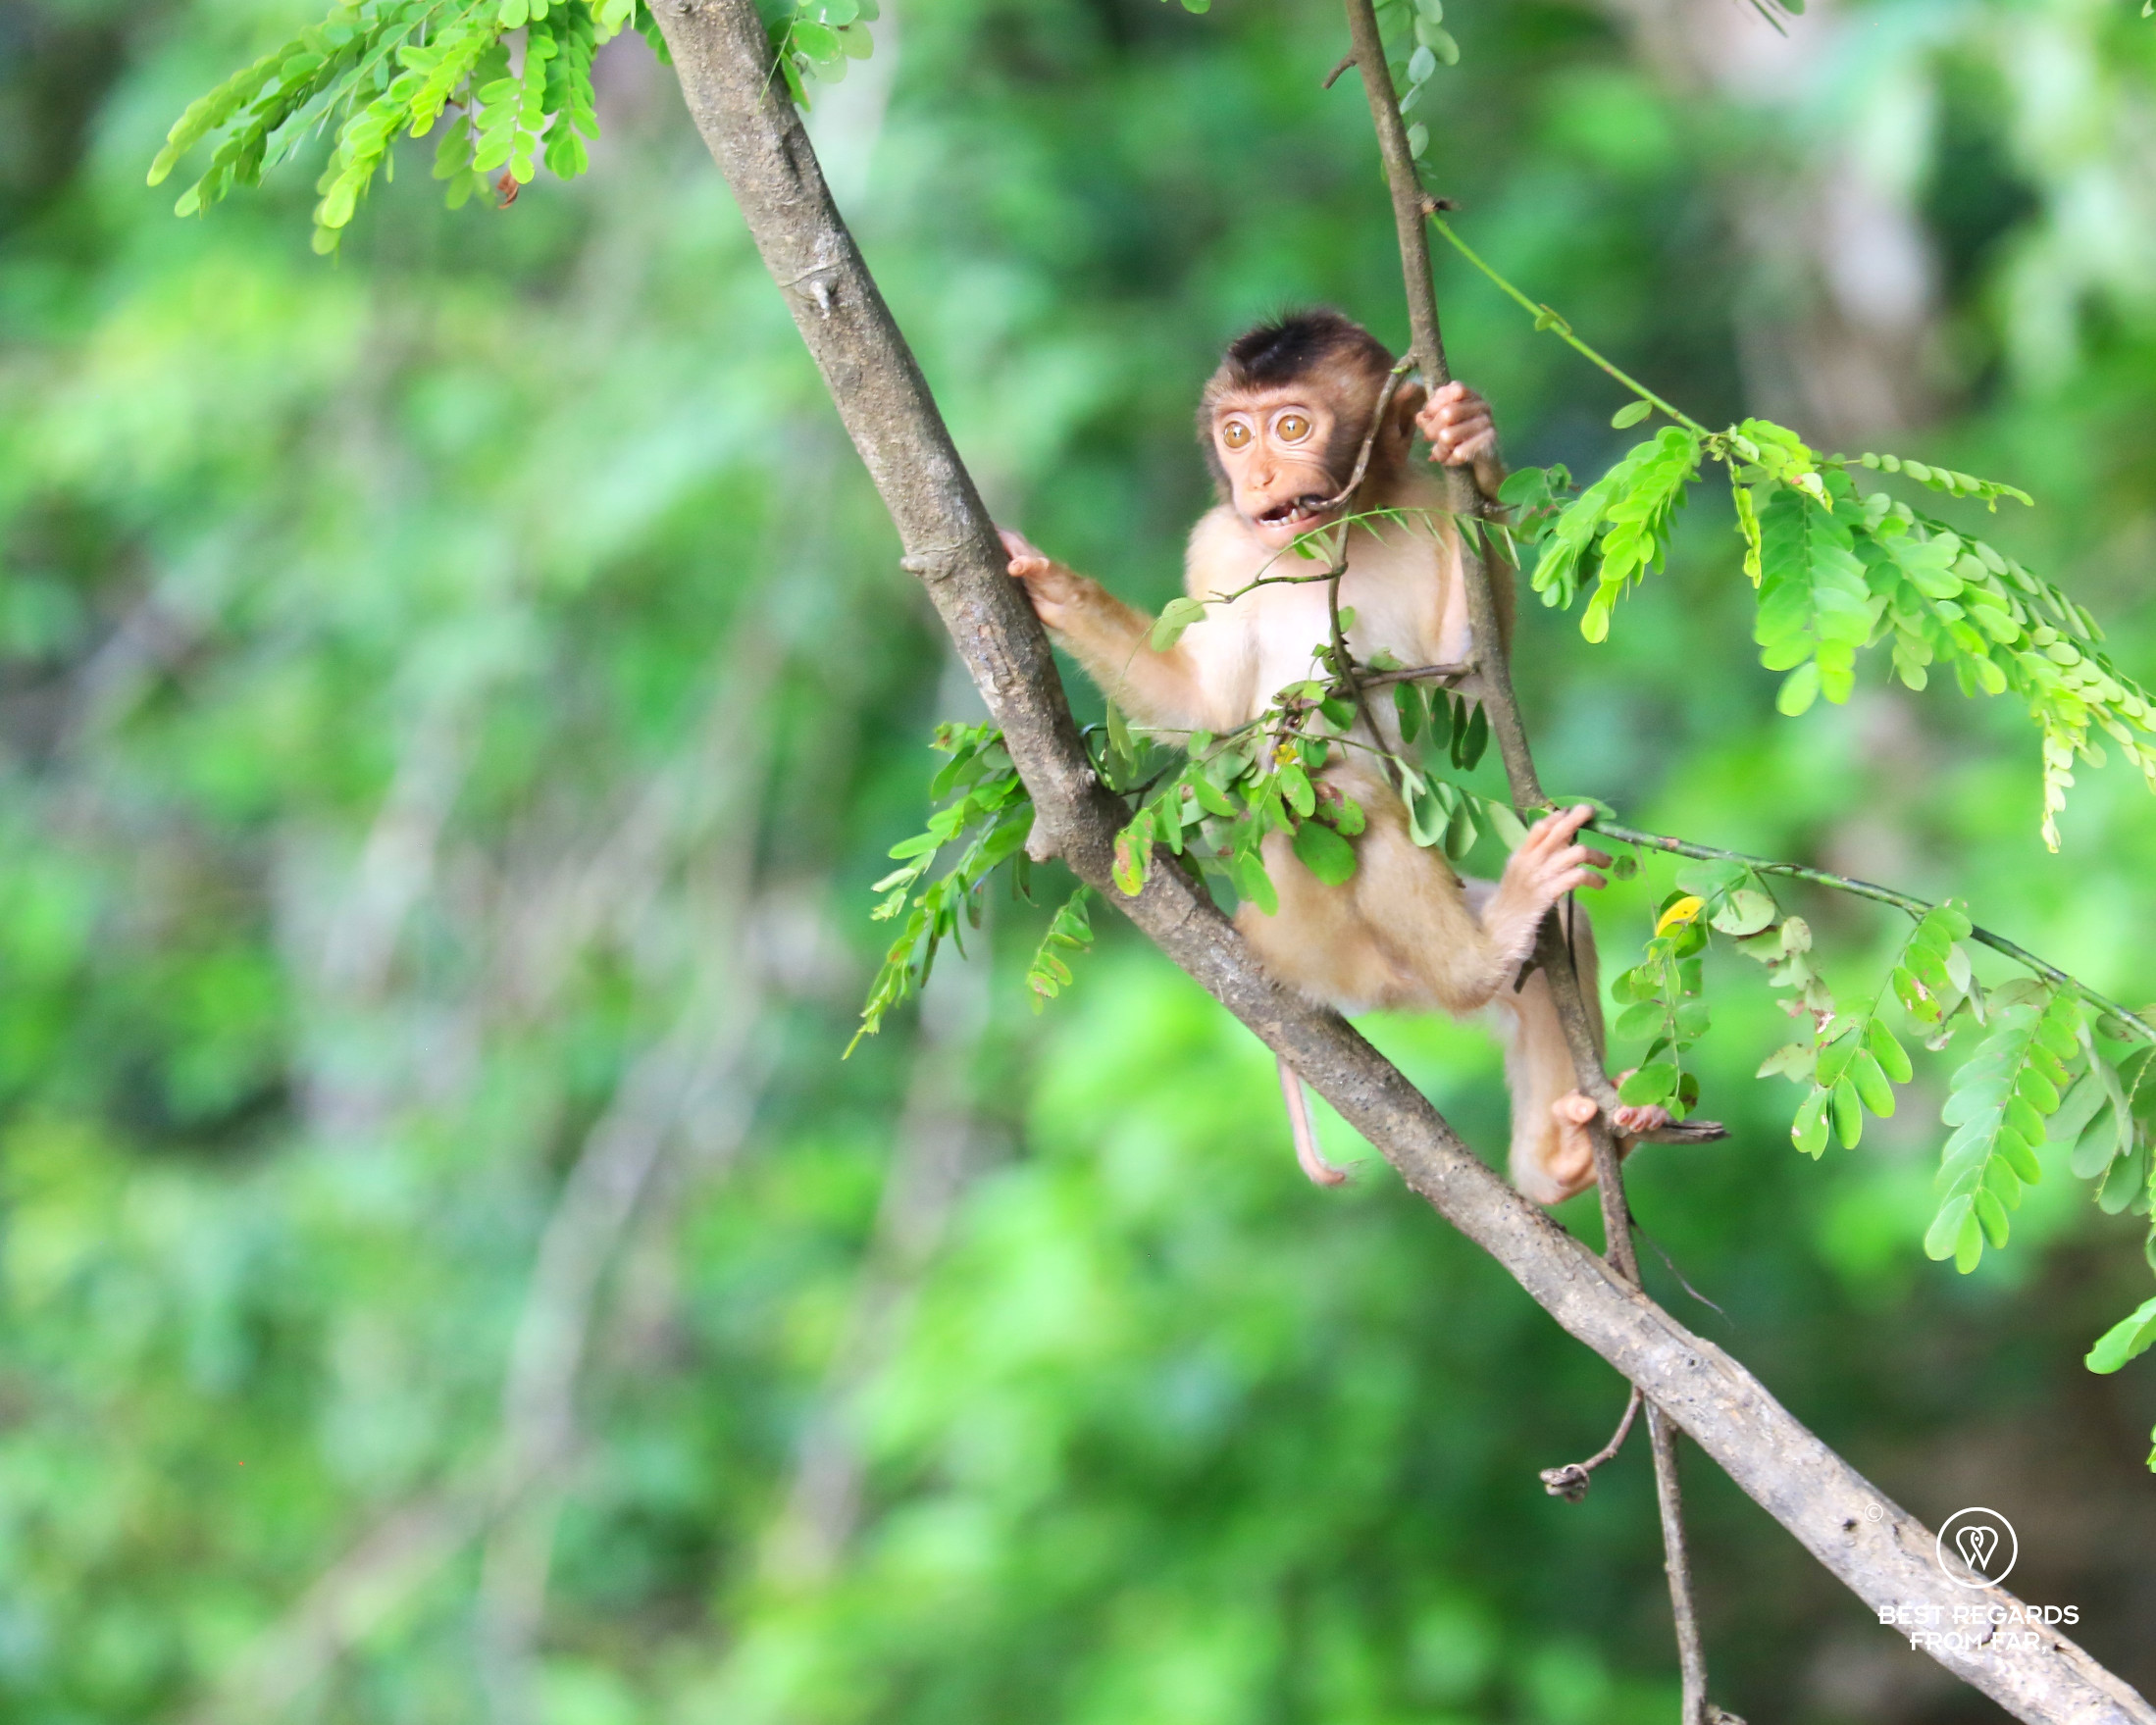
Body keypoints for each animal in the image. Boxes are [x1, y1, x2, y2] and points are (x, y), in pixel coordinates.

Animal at [998, 308, 1672, 1205]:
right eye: (1236, 433)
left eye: (1291, 427)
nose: (1256, 477)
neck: (1331, 533)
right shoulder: (1219, 546)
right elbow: (1204, 708)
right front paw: (1046, 584)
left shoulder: (1426, 509)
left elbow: (1466, 669)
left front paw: (1471, 439)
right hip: (1306, 921)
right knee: (1337, 789)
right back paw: (1480, 962)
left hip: (1382, 966)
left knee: (1560, 940)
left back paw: (1555, 1158)